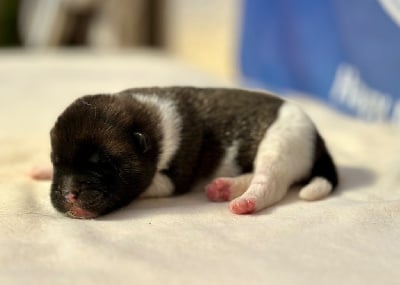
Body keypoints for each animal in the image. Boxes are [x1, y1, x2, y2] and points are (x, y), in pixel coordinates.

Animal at [43, 86, 338, 217]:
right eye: (57, 162)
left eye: (102, 164)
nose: (68, 194)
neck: (149, 122)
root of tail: (318, 137)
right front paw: (42, 170)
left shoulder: (174, 177)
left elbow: (147, 185)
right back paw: (224, 188)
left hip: (281, 141)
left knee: (270, 180)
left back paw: (246, 201)